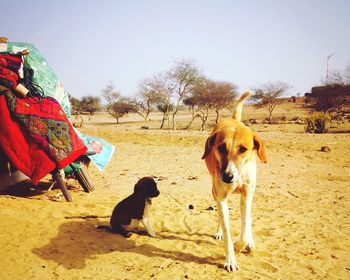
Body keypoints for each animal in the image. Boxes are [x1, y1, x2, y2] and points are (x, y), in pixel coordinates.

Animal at [201, 92, 266, 272]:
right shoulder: (221, 197)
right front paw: (231, 259)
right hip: (215, 192)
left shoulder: (247, 195)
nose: (227, 177)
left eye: (243, 149)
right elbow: (227, 231)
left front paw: (243, 244)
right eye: (221, 147)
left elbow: (245, 227)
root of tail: (233, 119)